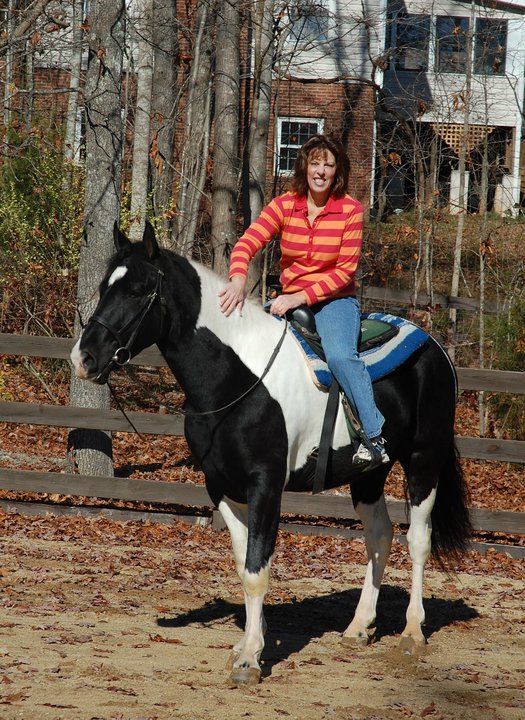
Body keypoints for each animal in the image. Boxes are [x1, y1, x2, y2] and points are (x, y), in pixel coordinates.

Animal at [71, 223, 471, 686]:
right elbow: (245, 564)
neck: (237, 378)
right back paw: (358, 627)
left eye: (137, 290)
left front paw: (250, 661)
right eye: (105, 287)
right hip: (369, 474)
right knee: (379, 536)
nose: (83, 358)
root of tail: (435, 348)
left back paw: (411, 634)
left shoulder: (265, 486)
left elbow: (257, 570)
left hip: (424, 461)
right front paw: (250, 643)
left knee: (418, 540)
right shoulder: (222, 488)